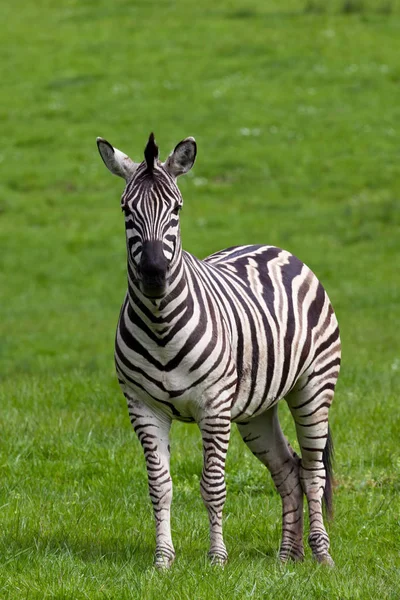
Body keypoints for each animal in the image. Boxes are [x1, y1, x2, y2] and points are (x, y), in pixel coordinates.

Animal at [97, 130, 340, 568]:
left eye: (176, 209)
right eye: (126, 209)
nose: (155, 275)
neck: (160, 326)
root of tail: (275, 249)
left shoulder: (213, 408)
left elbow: (212, 485)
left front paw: (216, 559)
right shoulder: (143, 407)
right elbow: (160, 486)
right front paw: (163, 560)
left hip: (313, 388)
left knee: (313, 472)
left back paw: (322, 556)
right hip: (256, 410)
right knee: (288, 469)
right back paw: (286, 558)